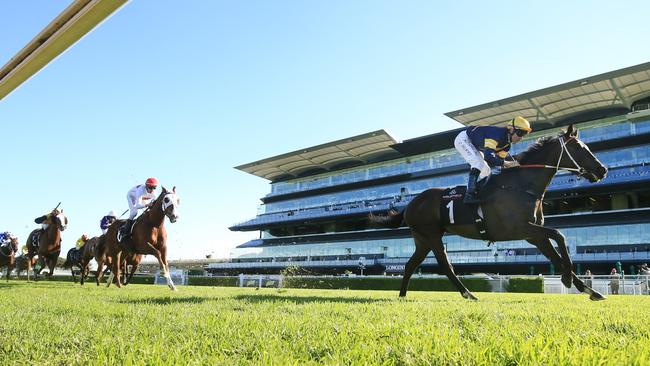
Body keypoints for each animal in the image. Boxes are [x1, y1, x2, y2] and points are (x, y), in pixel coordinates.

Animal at [370, 126, 608, 300]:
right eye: (579, 148)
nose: (602, 170)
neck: (522, 185)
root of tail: (411, 203)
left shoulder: (534, 235)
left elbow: (557, 256)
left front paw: (590, 290)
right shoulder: (521, 229)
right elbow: (560, 235)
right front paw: (568, 279)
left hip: (422, 239)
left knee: (410, 264)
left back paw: (402, 295)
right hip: (432, 236)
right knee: (445, 266)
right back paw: (468, 293)